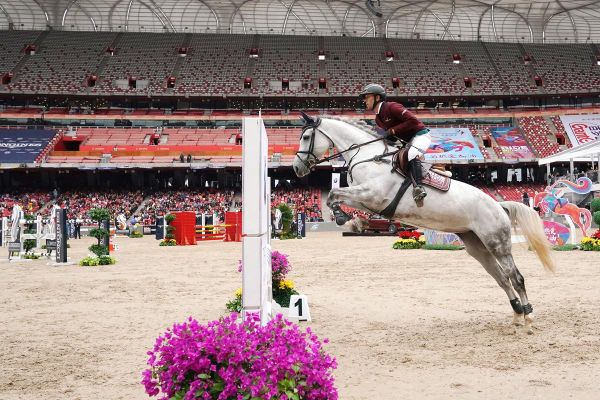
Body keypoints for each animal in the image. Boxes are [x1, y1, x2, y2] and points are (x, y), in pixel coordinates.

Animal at [292, 114, 556, 332]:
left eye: (306, 137)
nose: (296, 168)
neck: (369, 158)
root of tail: (499, 206)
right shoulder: (367, 201)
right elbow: (335, 196)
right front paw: (349, 220)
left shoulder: (372, 196)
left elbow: (335, 194)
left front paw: (344, 219)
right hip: (477, 246)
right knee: (502, 278)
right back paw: (517, 315)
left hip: (497, 244)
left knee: (515, 277)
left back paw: (528, 318)